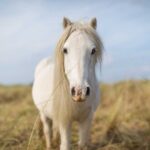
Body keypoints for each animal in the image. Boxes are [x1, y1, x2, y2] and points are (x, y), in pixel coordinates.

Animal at [32, 17, 103, 149]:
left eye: (93, 50)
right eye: (65, 50)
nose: (80, 91)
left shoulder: (86, 119)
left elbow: (83, 144)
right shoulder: (65, 121)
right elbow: (65, 145)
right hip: (43, 113)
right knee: (47, 130)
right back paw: (49, 145)